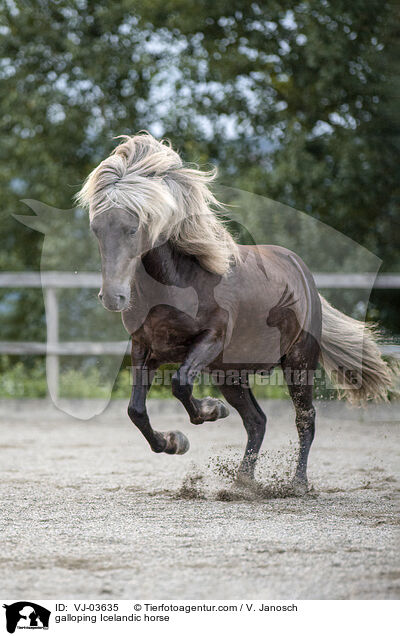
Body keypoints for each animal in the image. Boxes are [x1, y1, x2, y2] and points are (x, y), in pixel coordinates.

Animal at [76, 133, 396, 492]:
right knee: (257, 420)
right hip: (229, 373)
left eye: (133, 228)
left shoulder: (210, 339)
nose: (113, 297)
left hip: (298, 361)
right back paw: (244, 480)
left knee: (305, 418)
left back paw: (297, 483)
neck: (180, 282)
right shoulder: (145, 348)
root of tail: (303, 273)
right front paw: (175, 441)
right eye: (96, 229)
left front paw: (210, 411)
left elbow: (180, 385)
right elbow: (136, 410)